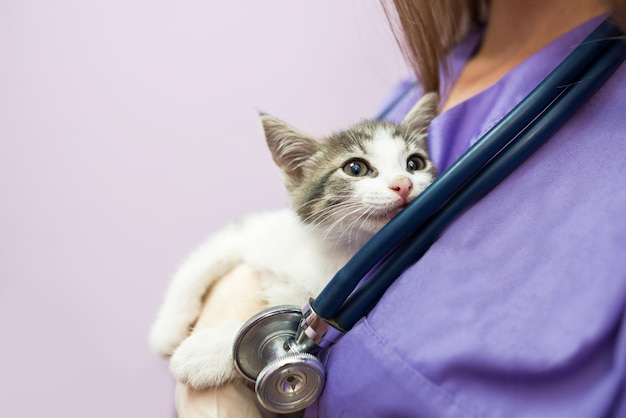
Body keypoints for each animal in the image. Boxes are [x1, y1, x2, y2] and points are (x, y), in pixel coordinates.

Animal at [149, 91, 436, 388]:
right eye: (355, 168)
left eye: (414, 164)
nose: (403, 184)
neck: (335, 247)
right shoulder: (256, 231)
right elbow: (203, 260)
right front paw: (166, 329)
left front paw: (206, 351)